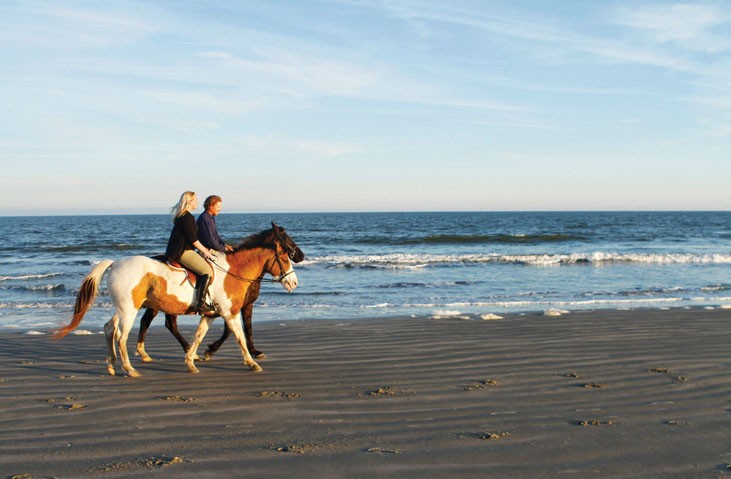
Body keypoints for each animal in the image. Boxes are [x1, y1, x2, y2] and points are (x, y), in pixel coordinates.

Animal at [134, 233, 305, 362]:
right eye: (284, 257)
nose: (294, 282)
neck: (234, 271)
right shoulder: (230, 308)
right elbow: (232, 330)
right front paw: (210, 351)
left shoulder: (237, 306)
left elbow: (242, 327)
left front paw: (253, 351)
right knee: (168, 324)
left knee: (151, 322)